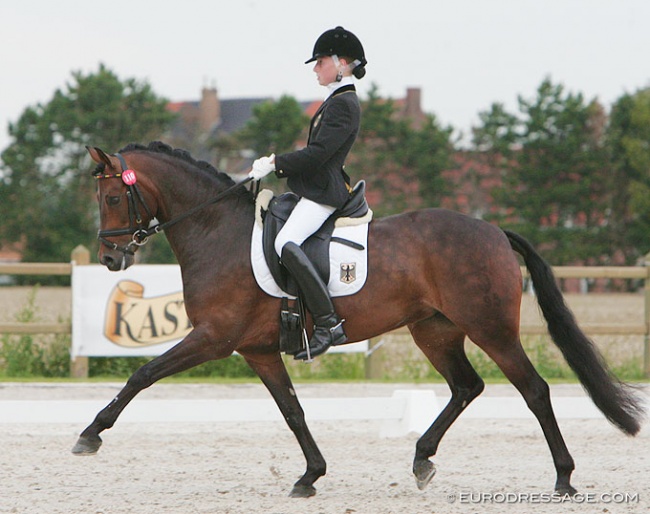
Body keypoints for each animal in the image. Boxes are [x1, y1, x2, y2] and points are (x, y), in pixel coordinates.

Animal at [72, 140, 644, 496]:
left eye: (114, 196)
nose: (110, 259)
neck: (217, 231)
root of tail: (494, 231)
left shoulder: (213, 338)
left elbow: (142, 373)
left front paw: (90, 434)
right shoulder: (257, 350)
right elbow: (293, 411)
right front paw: (310, 476)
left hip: (490, 328)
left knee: (534, 390)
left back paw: (564, 478)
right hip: (434, 330)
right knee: (467, 386)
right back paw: (422, 459)